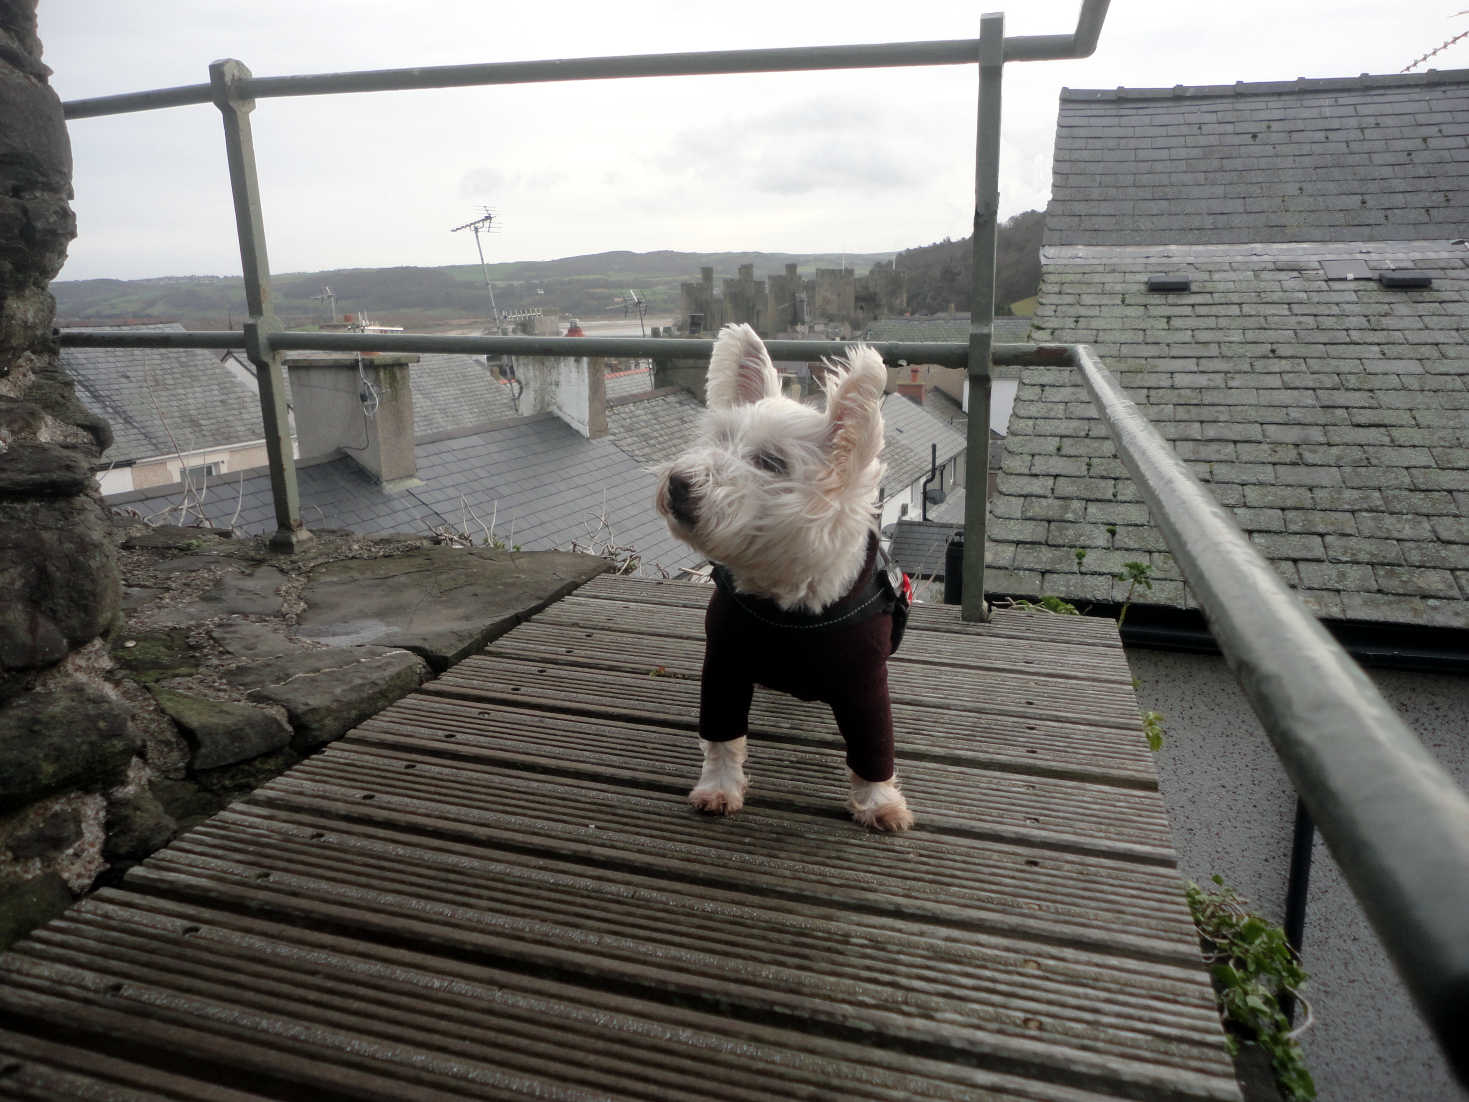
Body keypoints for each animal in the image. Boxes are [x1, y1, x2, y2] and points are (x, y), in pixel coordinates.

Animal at [652, 323, 904, 834]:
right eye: (719, 439)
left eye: (770, 462)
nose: (679, 483)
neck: (787, 606)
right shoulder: (724, 666)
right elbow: (721, 735)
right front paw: (718, 790)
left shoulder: (865, 685)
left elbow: (874, 749)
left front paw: (879, 803)